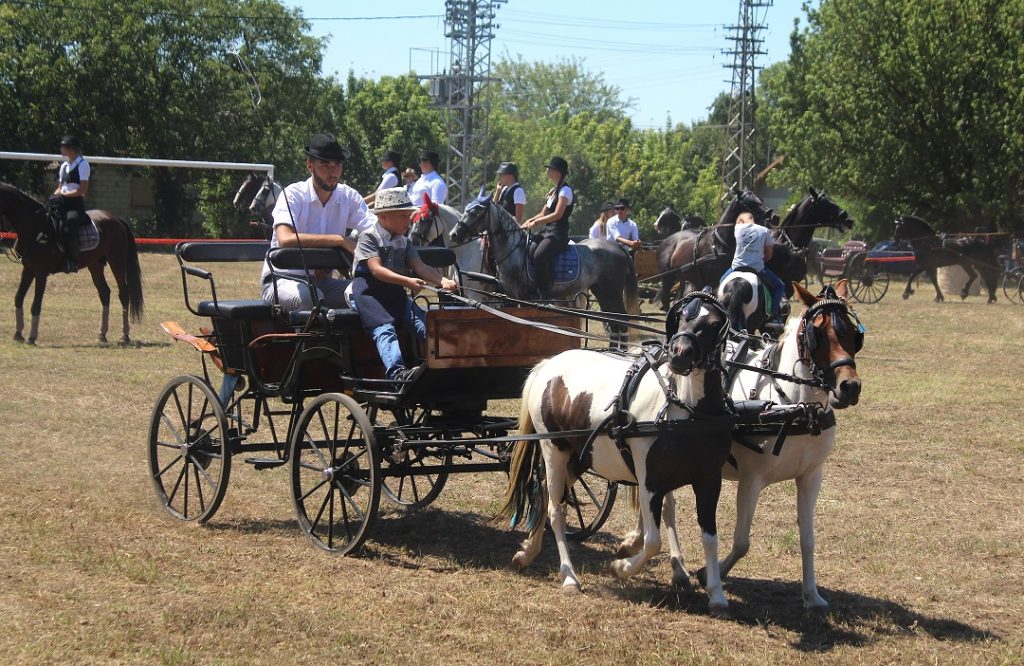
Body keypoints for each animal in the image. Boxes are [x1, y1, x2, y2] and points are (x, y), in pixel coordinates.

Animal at [0, 181, 144, 342]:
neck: (35, 226)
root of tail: (117, 219)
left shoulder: (41, 273)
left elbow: (36, 305)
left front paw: (31, 337)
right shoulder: (28, 269)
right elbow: (18, 298)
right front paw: (18, 334)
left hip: (116, 261)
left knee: (124, 293)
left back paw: (125, 335)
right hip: (95, 265)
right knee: (104, 293)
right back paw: (102, 334)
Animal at [450, 193, 638, 344]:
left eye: (475, 212)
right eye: (465, 209)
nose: (454, 234)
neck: (514, 251)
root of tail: (617, 247)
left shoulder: (523, 298)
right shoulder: (511, 298)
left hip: (611, 292)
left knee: (620, 322)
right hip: (602, 291)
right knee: (614, 322)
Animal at [495, 286, 737, 610]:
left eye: (713, 323)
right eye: (684, 316)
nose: (679, 354)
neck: (687, 414)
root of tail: (549, 365)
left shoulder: (709, 481)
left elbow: (710, 536)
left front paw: (716, 594)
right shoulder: (650, 481)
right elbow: (652, 540)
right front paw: (621, 567)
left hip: (579, 457)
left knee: (545, 496)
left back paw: (528, 552)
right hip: (553, 449)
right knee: (556, 509)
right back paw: (569, 576)